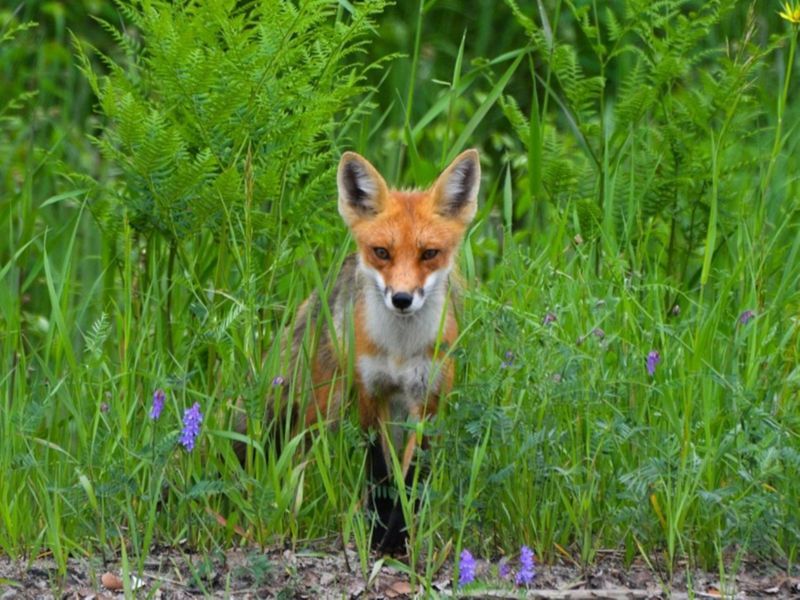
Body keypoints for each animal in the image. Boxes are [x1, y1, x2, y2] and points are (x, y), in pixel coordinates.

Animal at [270, 149, 480, 551]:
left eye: (429, 253)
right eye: (382, 252)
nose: (401, 299)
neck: (399, 349)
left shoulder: (427, 401)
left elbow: (412, 478)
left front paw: (398, 540)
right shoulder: (371, 393)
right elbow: (380, 474)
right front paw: (380, 535)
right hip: (324, 407)